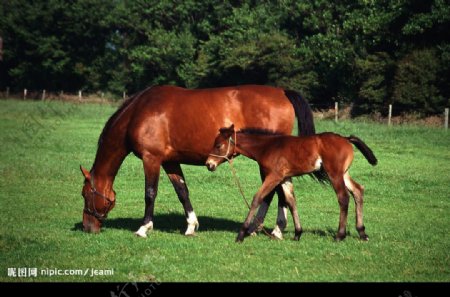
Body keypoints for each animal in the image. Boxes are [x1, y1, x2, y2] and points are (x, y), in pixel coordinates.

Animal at [80, 84, 316, 237]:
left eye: (85, 194)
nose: (88, 227)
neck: (139, 112)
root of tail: (282, 92)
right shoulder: (170, 162)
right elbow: (182, 192)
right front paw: (191, 226)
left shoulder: (151, 159)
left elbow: (150, 193)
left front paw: (143, 228)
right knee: (282, 189)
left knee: (275, 191)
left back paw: (269, 229)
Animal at [206, 123, 378, 242]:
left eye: (219, 145)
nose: (209, 164)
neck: (268, 147)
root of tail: (346, 138)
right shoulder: (285, 179)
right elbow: (291, 202)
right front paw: (297, 233)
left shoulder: (274, 176)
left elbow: (257, 198)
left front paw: (241, 234)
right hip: (343, 173)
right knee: (358, 190)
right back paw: (362, 232)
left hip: (334, 174)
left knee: (343, 197)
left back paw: (340, 235)